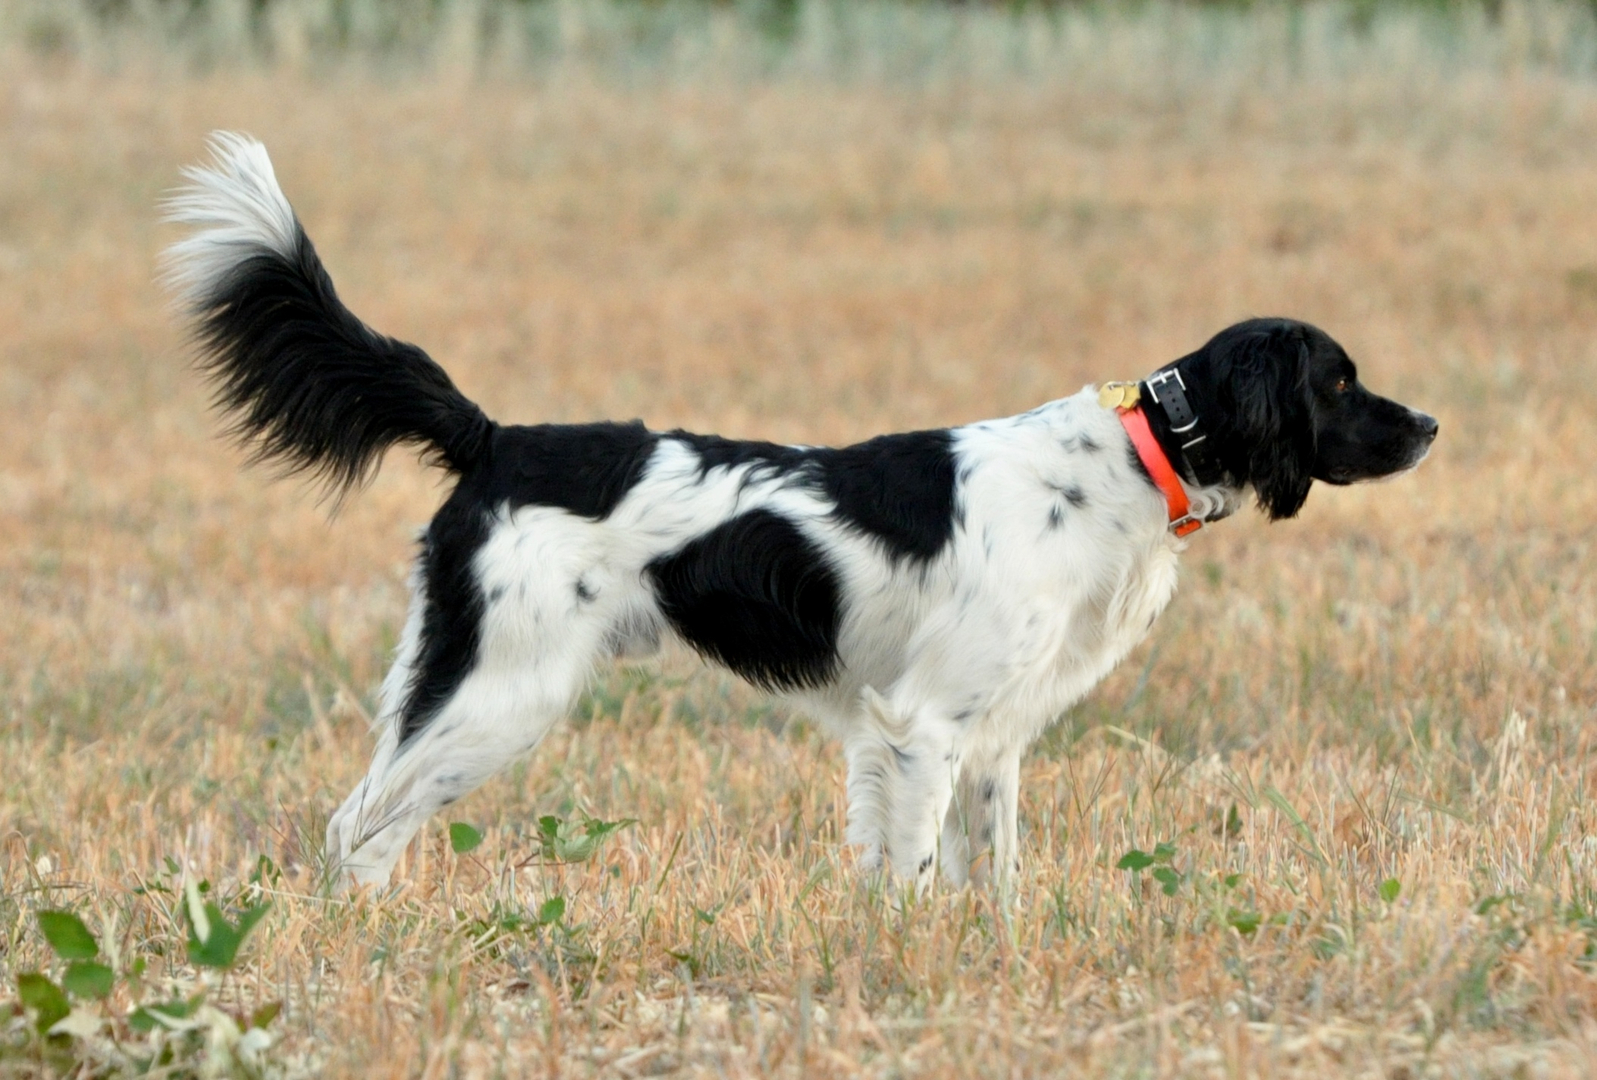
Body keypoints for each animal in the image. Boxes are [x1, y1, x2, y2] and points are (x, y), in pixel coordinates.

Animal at [162, 135, 1437, 888]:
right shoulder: (921, 728)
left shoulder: (991, 742)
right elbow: (914, 877)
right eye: (1338, 383)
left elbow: (992, 883)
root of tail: (496, 437)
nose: (1429, 426)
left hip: (458, 684)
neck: (1127, 458)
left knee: (374, 826)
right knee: (356, 827)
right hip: (501, 691)